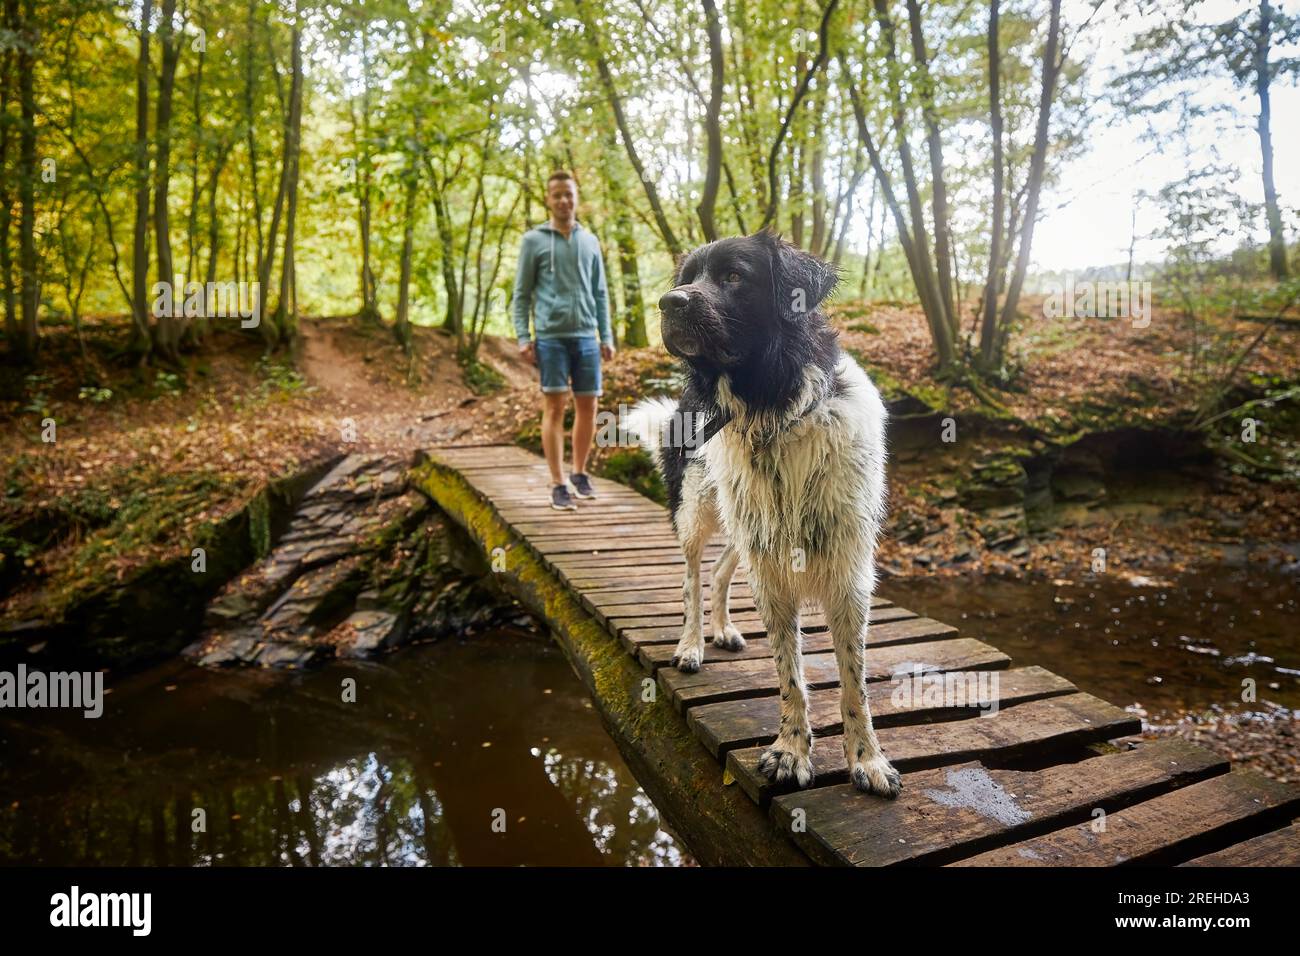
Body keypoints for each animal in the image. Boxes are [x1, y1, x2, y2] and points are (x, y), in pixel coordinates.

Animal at [624, 227, 899, 796]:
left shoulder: (846, 571)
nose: (669, 302)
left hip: (744, 523)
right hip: (701, 510)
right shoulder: (772, 570)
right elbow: (789, 675)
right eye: (688, 278)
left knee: (721, 572)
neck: (774, 408)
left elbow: (854, 682)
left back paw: (724, 629)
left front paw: (867, 759)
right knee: (690, 577)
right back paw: (692, 644)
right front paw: (791, 750)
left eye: (735, 276)